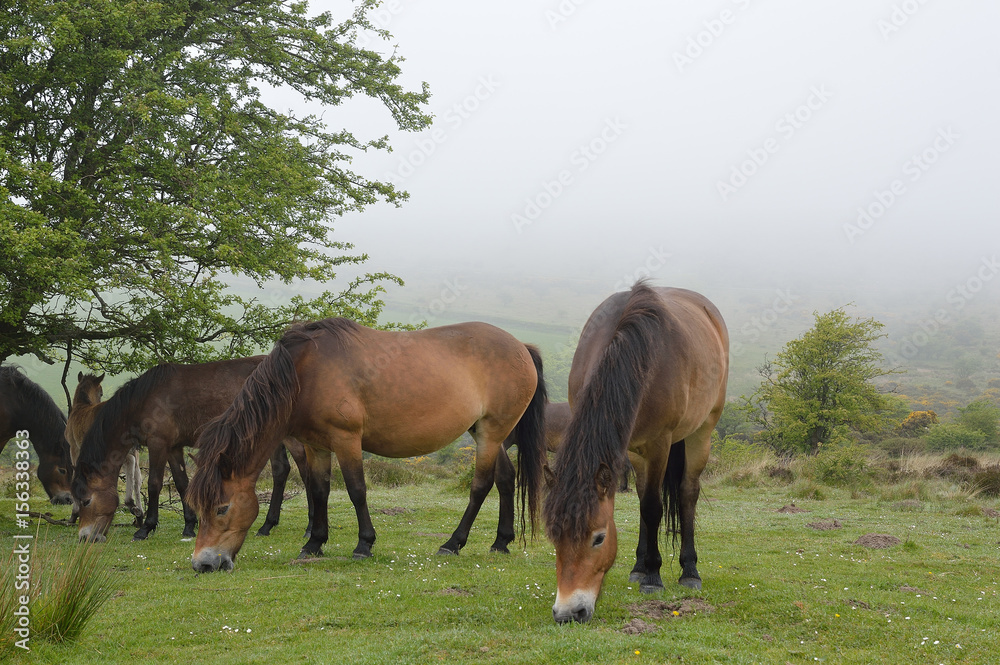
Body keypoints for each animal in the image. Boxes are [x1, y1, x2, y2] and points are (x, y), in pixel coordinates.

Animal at [73, 358, 314, 540]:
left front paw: (146, 528)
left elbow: (154, 484)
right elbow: (182, 483)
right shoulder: (173, 447)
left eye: (86, 501)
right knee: (281, 470)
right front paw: (189, 525)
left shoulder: (158, 444)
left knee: (304, 470)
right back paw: (267, 526)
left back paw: (310, 527)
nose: (85, 536)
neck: (144, 399)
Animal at [187, 316, 548, 572]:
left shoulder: (346, 439)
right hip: (486, 434)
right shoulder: (317, 446)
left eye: (222, 508)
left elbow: (356, 490)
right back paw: (501, 541)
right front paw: (314, 543)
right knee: (506, 478)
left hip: (491, 433)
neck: (306, 372)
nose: (202, 563)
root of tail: (520, 346)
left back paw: (452, 543)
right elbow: (319, 491)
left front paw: (364, 544)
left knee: (481, 485)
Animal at [544, 282, 732, 624]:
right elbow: (644, 504)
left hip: (702, 431)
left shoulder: (659, 443)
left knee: (686, 494)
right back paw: (638, 567)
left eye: (599, 538)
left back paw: (689, 571)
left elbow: (654, 508)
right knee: (646, 494)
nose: (568, 612)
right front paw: (643, 568)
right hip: (636, 451)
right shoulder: (630, 446)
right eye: (554, 536)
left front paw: (654, 577)